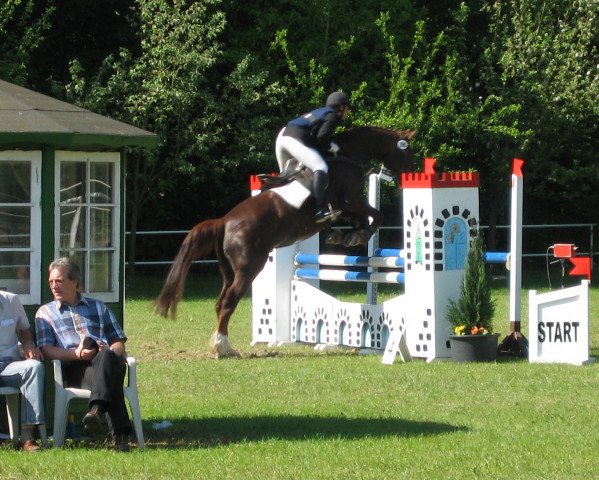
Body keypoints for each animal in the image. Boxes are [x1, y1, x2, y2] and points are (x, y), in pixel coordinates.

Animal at [157, 126, 414, 356]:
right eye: (406, 152)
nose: (405, 179)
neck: (348, 155)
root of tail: (225, 221)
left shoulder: (347, 206)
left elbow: (361, 219)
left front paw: (346, 235)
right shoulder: (350, 199)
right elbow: (375, 216)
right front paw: (358, 235)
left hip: (229, 271)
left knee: (220, 302)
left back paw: (225, 346)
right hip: (249, 268)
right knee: (229, 301)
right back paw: (222, 347)